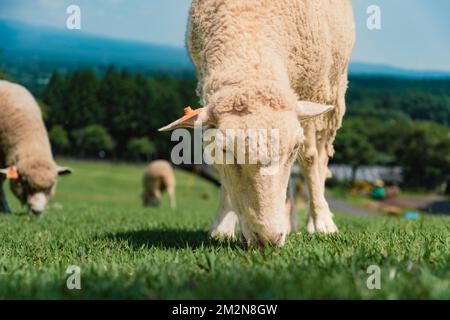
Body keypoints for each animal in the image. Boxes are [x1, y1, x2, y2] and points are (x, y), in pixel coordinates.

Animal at [159, 0, 356, 248]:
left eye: (294, 149)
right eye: (225, 150)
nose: (268, 239)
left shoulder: (310, 87)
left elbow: (309, 158)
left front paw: (322, 223)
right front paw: (221, 227)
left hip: (333, 91)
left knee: (319, 158)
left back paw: (317, 219)